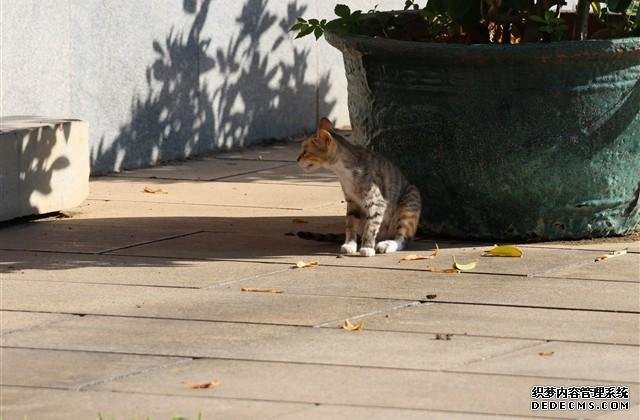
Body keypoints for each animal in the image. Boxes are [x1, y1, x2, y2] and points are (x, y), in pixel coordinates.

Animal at [298, 117, 422, 256]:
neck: (342, 172)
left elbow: (371, 226)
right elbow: (350, 224)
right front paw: (350, 244)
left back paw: (387, 244)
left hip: (411, 199)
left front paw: (367, 247)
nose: (297, 159)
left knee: (402, 238)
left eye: (305, 152)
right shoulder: (352, 201)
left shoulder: (378, 202)